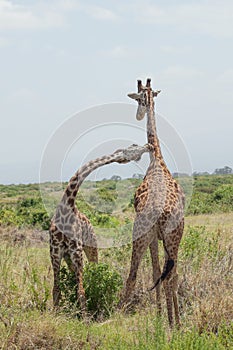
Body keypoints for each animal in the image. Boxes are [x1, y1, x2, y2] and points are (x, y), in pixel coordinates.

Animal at [49, 142, 151, 312]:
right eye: (134, 148)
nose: (148, 146)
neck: (66, 208)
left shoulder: (76, 253)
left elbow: (81, 291)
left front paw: (84, 317)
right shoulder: (55, 254)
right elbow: (56, 290)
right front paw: (56, 314)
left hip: (90, 247)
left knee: (93, 269)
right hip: (69, 256)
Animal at [121, 78, 185, 326]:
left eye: (139, 99)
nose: (138, 115)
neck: (156, 158)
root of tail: (162, 213)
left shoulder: (154, 238)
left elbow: (157, 271)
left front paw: (161, 316)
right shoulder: (160, 238)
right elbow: (162, 273)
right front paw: (166, 317)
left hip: (146, 237)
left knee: (135, 275)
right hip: (169, 237)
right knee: (169, 275)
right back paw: (173, 322)